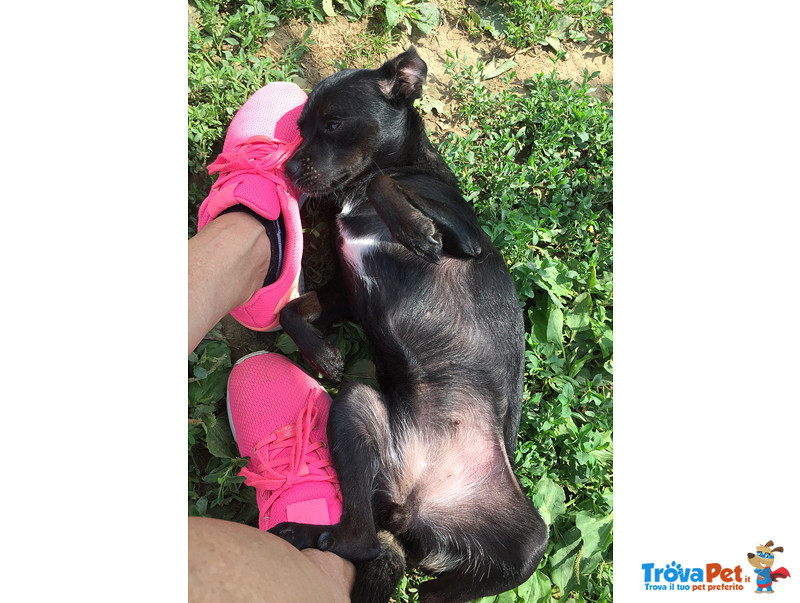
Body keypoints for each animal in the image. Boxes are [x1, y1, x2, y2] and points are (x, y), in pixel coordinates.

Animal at [273, 47, 548, 603]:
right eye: (300, 127)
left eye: (332, 124)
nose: (286, 167)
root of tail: (415, 507)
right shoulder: (344, 293)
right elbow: (290, 310)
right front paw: (324, 354)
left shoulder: (465, 238)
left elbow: (386, 181)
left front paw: (416, 230)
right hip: (357, 408)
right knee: (357, 538)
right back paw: (309, 534)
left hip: (531, 546)